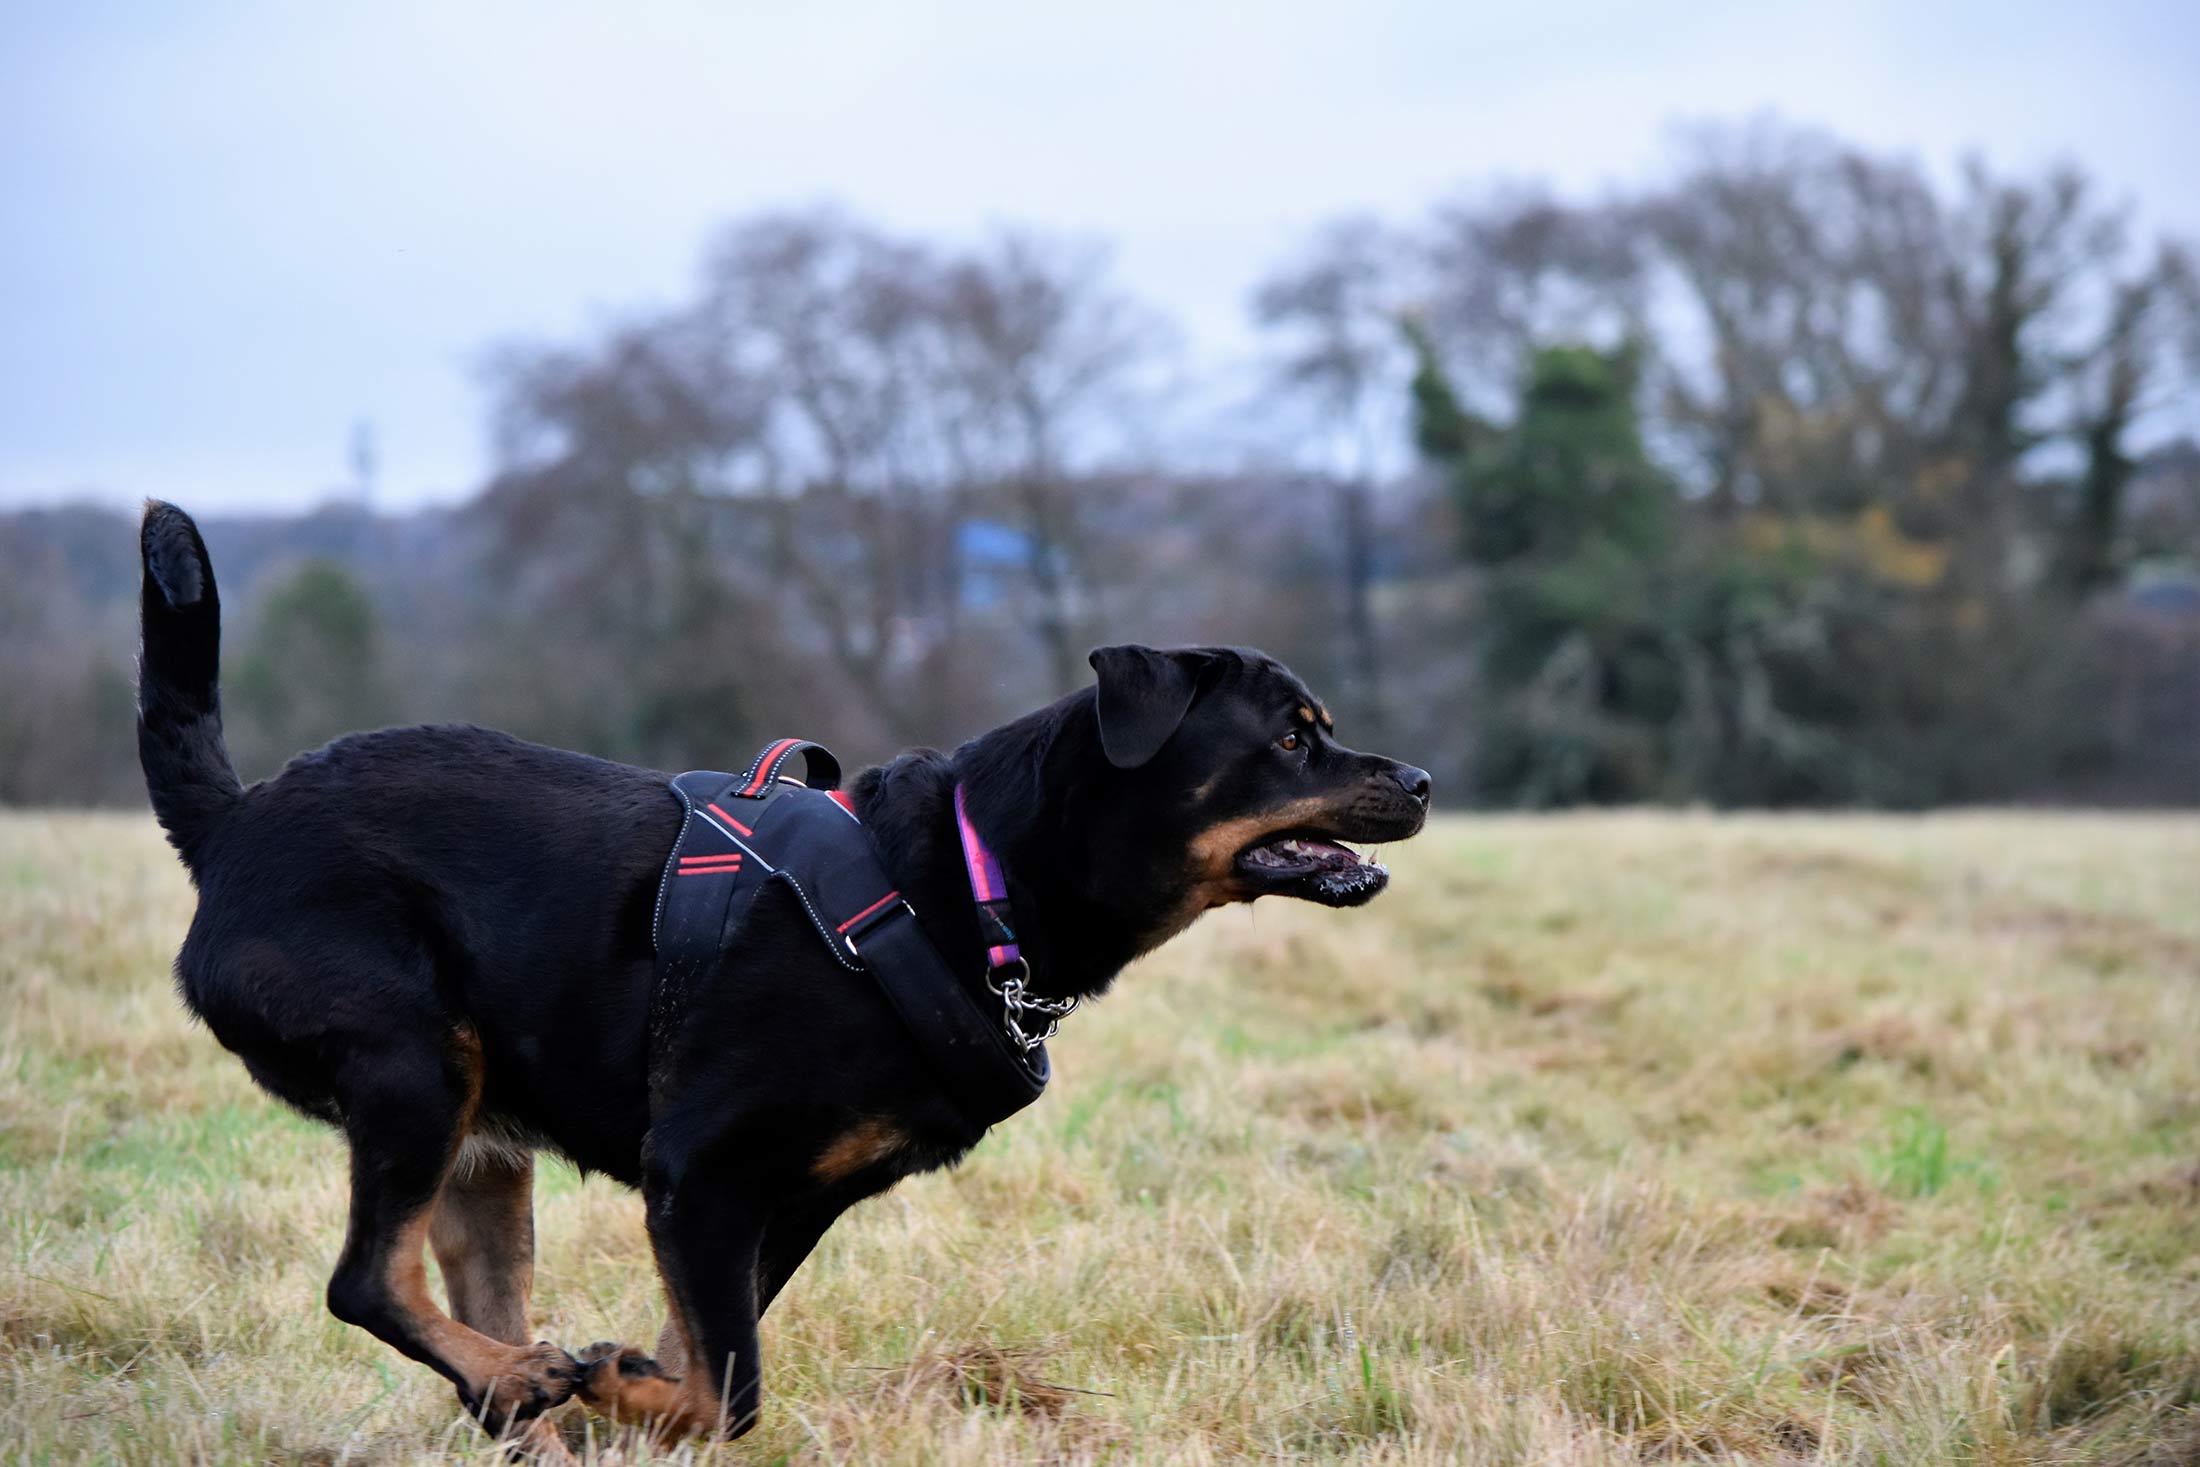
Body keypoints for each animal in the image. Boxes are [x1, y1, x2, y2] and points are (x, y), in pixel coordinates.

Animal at [141, 501, 1443, 1442]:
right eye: (1291, 739)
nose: (1423, 779)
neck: (970, 880)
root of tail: (233, 826)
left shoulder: (791, 1200)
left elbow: (710, 1359)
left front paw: (628, 1403)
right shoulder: (700, 1171)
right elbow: (729, 1387)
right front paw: (620, 1391)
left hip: (481, 1144)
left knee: (462, 1318)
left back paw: (524, 1391)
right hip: (412, 1064)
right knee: (367, 1282)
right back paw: (533, 1377)